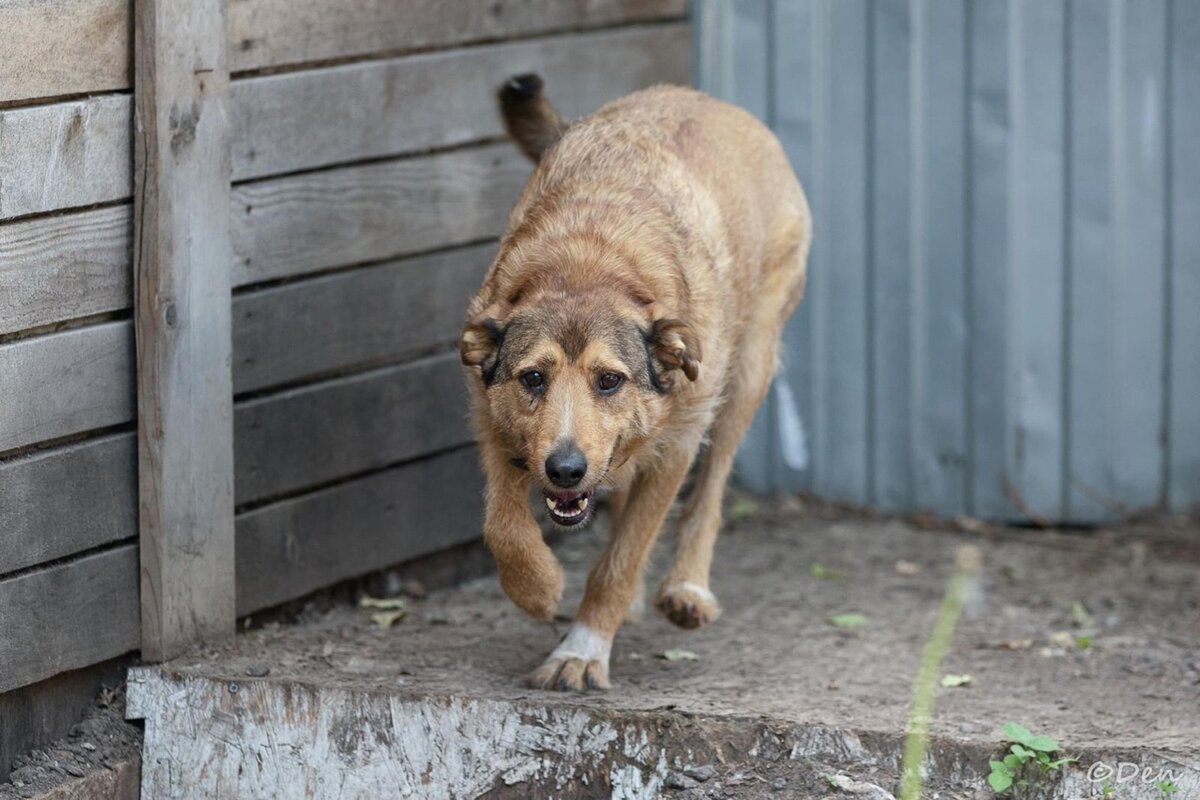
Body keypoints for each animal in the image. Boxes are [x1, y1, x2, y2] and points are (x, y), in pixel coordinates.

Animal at [463, 71, 811, 690]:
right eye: (533, 378)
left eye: (609, 380)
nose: (566, 469)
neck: (588, 261)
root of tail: (707, 100)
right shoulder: (493, 417)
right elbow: (504, 525)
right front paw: (538, 587)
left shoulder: (675, 447)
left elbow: (621, 561)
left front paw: (582, 648)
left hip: (749, 369)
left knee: (711, 489)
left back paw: (686, 587)